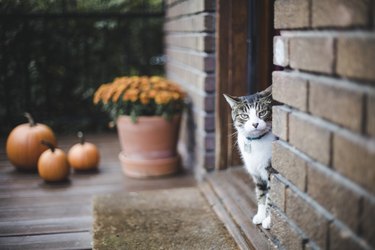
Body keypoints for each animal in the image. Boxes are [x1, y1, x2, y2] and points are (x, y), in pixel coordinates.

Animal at [225, 85, 278, 229]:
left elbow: (271, 197)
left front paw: (268, 220)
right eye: (244, 115)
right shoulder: (256, 173)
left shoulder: (271, 171)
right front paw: (260, 215)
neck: (256, 142)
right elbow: (261, 194)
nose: (255, 124)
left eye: (262, 113)